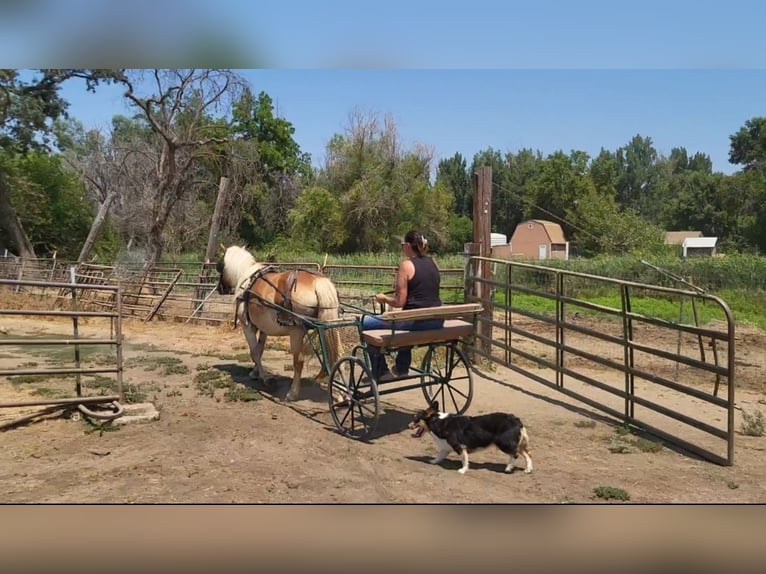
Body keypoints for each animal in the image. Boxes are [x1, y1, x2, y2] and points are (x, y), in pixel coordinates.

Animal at [214, 245, 344, 402]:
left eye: (220, 265)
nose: (220, 288)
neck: (247, 280)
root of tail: (319, 282)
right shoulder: (263, 328)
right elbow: (260, 349)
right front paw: (255, 372)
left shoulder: (248, 326)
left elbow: (254, 352)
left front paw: (265, 378)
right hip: (331, 325)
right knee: (338, 355)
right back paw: (339, 394)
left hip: (296, 332)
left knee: (298, 361)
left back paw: (292, 393)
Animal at [408, 402, 536, 474]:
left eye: (416, 418)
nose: (408, 425)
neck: (439, 422)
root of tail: (516, 420)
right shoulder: (445, 447)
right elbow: (439, 456)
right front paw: (434, 461)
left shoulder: (460, 447)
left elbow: (464, 460)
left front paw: (463, 470)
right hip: (516, 444)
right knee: (528, 454)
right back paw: (528, 469)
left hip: (504, 443)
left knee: (515, 454)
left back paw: (509, 468)